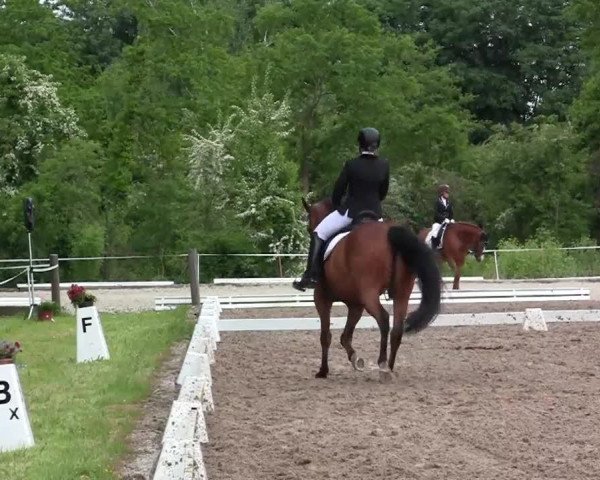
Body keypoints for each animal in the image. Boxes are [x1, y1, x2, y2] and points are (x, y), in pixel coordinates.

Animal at [300, 196, 440, 382]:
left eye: (309, 227)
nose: (311, 230)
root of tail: (389, 232)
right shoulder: (355, 305)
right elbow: (345, 336)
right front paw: (356, 360)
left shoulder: (322, 298)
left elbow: (326, 336)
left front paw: (323, 371)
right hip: (401, 294)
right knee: (397, 329)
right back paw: (390, 367)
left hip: (370, 294)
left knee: (384, 319)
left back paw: (383, 366)